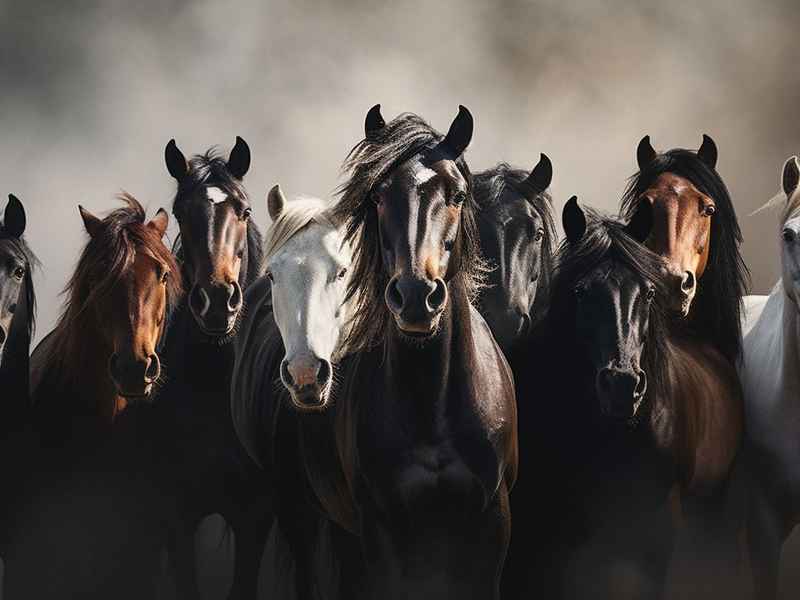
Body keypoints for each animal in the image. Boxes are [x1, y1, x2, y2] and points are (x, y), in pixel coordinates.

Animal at [292, 104, 517, 599]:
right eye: (378, 196)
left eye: (457, 194)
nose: (416, 296)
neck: (432, 406)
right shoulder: (381, 531)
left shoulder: (490, 524)